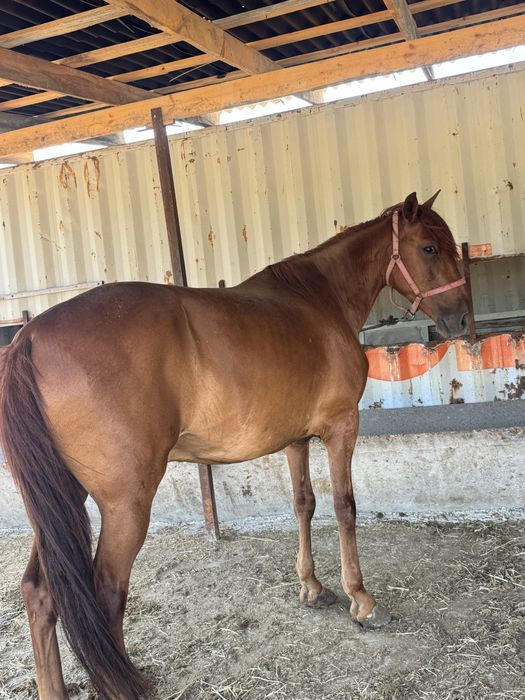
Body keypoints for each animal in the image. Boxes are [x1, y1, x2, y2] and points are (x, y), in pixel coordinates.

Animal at [0, 191, 469, 699]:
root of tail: (28, 337)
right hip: (125, 505)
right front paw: (361, 600)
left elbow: (303, 503)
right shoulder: (341, 427)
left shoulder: (296, 440)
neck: (319, 299)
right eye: (428, 248)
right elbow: (345, 508)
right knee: (105, 595)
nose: (462, 317)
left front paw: (311, 586)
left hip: (62, 498)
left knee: (40, 592)